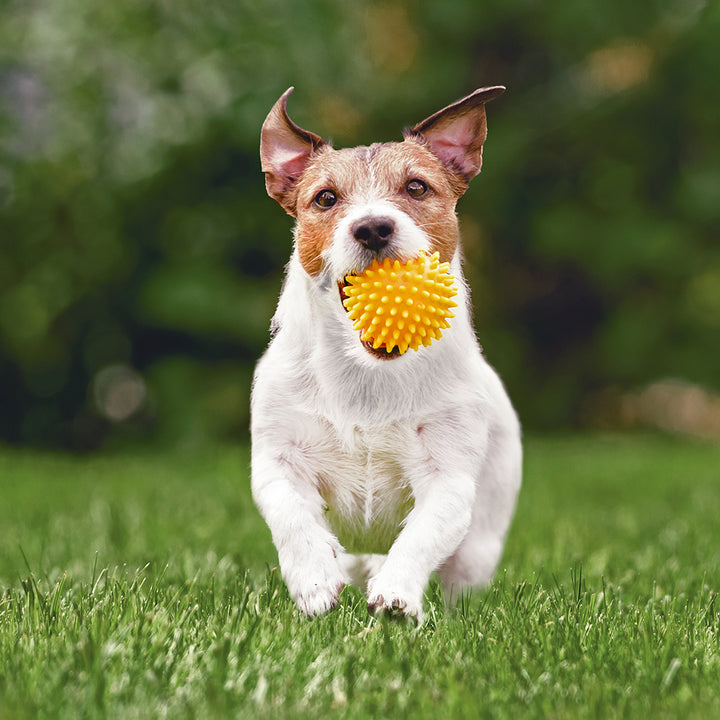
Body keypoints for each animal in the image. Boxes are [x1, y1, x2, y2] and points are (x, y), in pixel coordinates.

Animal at [250, 87, 520, 620]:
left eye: (416, 188)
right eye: (326, 198)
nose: (373, 227)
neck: (367, 374)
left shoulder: (448, 476)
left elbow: (423, 534)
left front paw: (396, 594)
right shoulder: (277, 459)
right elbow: (292, 517)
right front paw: (314, 580)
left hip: (480, 544)